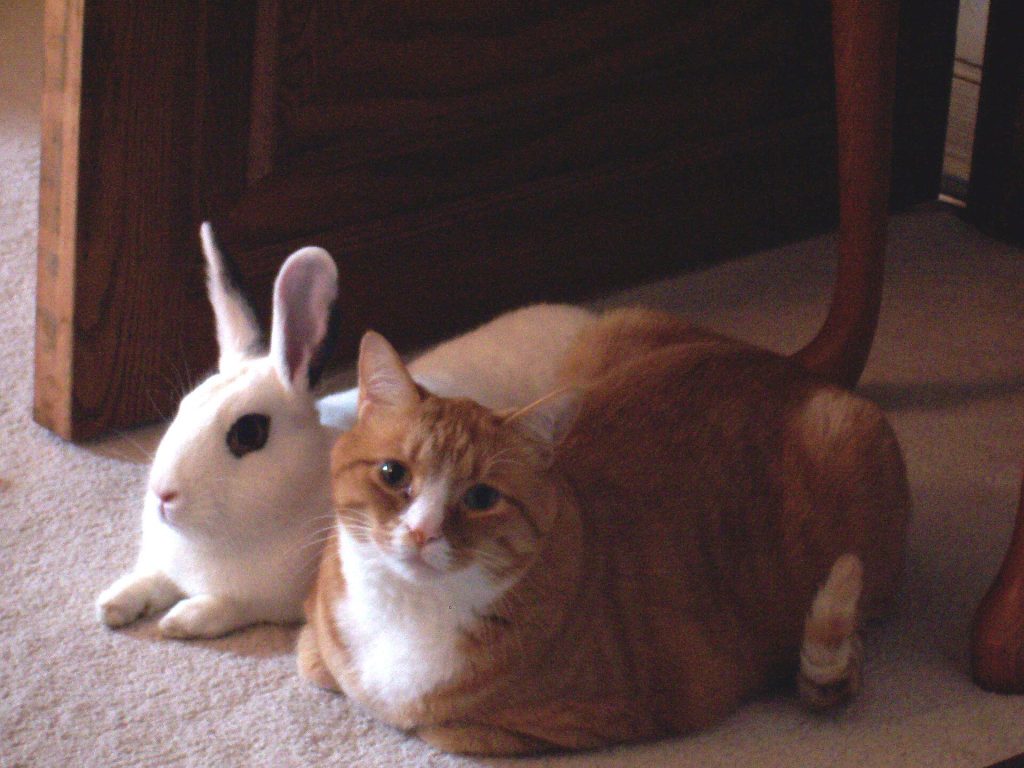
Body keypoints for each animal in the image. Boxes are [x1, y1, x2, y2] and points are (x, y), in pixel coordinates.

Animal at [96, 224, 596, 639]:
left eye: (249, 433)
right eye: (183, 407)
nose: (163, 495)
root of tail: (583, 319)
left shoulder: (271, 601)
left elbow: (227, 606)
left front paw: (181, 621)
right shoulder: (166, 565)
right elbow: (151, 579)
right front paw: (113, 604)